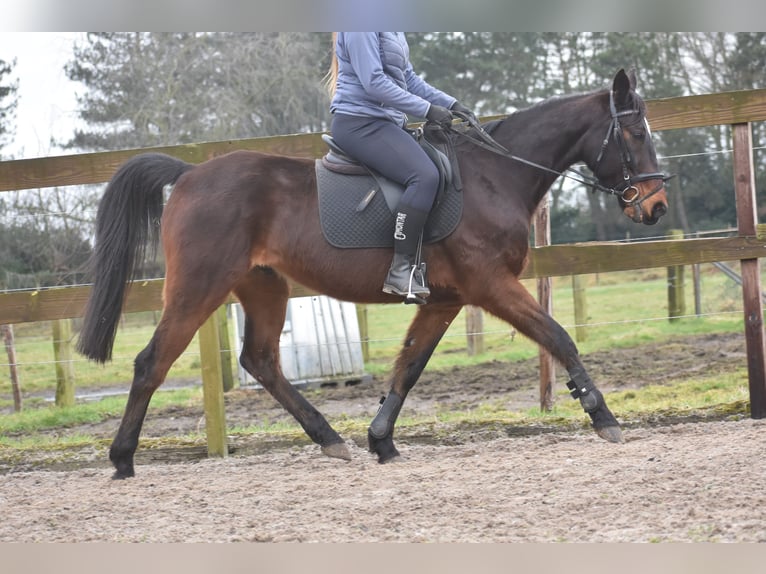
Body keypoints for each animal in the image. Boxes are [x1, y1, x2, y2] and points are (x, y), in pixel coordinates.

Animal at [75, 68, 668, 482]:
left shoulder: (445, 299)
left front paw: (381, 440)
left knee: (261, 361)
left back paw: (330, 438)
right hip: (199, 287)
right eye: (635, 133)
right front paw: (602, 417)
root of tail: (189, 173)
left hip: (263, 286)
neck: (493, 176)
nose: (656, 207)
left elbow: (409, 366)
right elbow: (558, 336)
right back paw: (122, 460)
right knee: (152, 363)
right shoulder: (491, 286)